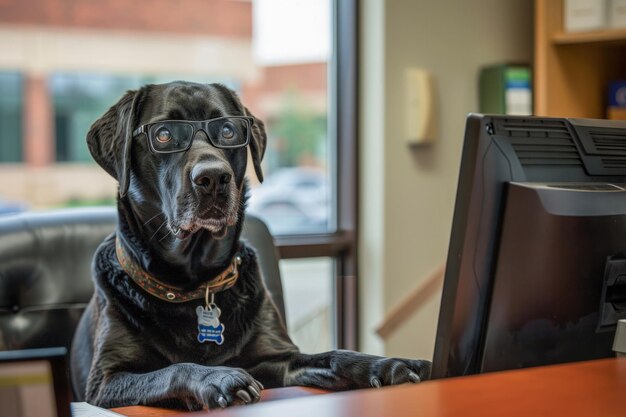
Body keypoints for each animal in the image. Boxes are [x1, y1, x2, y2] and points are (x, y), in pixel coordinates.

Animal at [69, 81, 428, 410]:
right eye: (164, 135)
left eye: (228, 130)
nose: (213, 178)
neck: (193, 283)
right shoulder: (105, 381)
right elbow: (173, 369)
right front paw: (218, 377)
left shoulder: (280, 357)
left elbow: (335, 355)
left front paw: (385, 364)